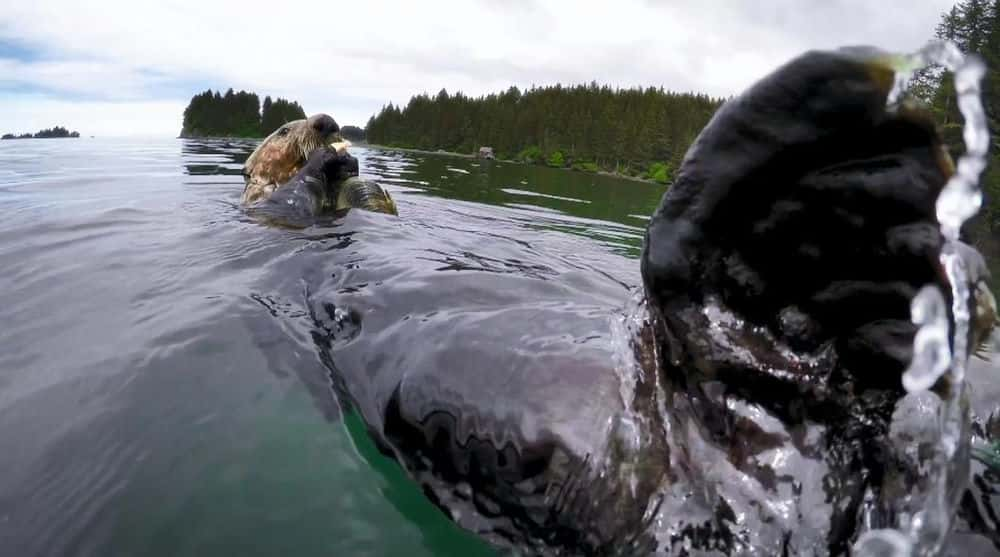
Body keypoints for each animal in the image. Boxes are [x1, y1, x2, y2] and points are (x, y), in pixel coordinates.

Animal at [262, 50, 996, 552]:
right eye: (280, 131)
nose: (323, 122)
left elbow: (372, 200)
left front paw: (352, 166)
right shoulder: (279, 216)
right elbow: (289, 200)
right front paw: (325, 165)